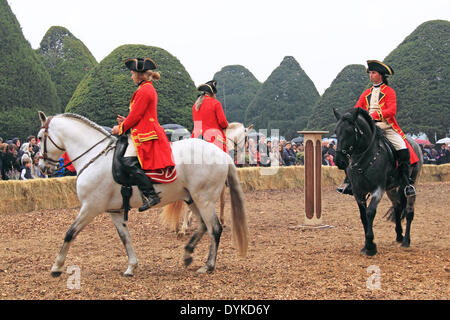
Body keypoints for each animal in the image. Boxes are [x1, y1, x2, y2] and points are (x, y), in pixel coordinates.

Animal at [37, 111, 250, 276]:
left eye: (39, 138)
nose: (42, 166)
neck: (95, 157)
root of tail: (222, 154)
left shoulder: (91, 207)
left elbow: (70, 233)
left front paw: (57, 266)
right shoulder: (114, 211)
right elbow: (125, 238)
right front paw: (132, 266)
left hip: (203, 199)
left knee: (214, 228)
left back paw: (208, 265)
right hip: (193, 199)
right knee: (204, 226)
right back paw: (188, 253)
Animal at [332, 109, 424, 256]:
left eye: (349, 132)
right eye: (336, 131)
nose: (339, 160)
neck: (364, 157)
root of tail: (414, 143)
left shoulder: (378, 189)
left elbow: (370, 212)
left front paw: (370, 246)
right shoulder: (358, 192)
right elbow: (363, 216)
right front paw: (366, 245)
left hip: (411, 183)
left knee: (409, 211)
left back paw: (406, 241)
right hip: (391, 188)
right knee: (398, 207)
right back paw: (399, 236)